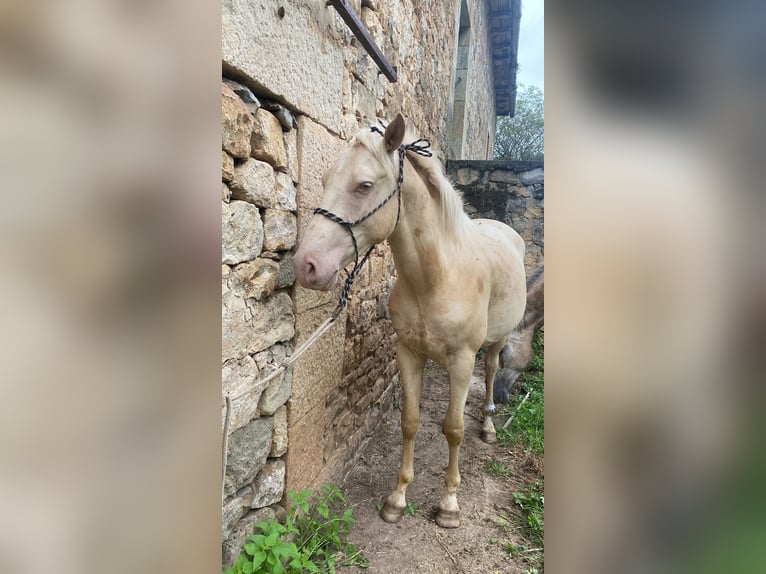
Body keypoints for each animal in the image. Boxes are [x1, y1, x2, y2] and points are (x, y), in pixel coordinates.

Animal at [294, 113, 528, 532]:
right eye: (324, 181)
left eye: (364, 185)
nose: (307, 265)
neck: (436, 278)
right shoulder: (408, 354)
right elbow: (410, 421)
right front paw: (397, 497)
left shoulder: (461, 361)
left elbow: (454, 429)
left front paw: (449, 504)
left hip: (497, 341)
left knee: (490, 370)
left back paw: (487, 426)